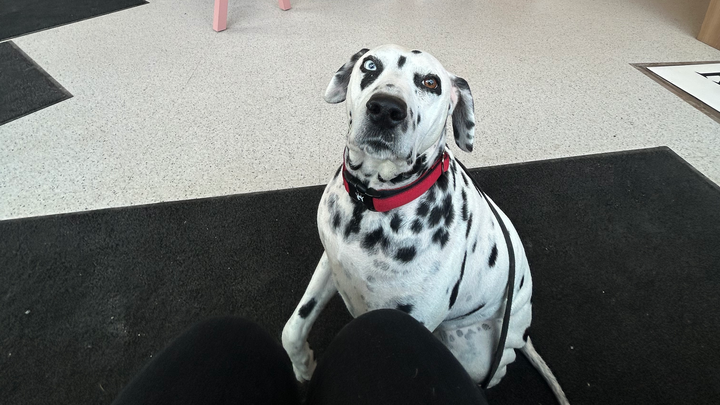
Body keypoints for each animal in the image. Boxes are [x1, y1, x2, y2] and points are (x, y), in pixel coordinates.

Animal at [282, 44, 568, 404]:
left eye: (430, 82)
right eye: (370, 65)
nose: (386, 109)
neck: (372, 203)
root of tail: (521, 329)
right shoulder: (330, 262)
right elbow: (292, 328)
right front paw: (303, 364)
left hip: (475, 350)